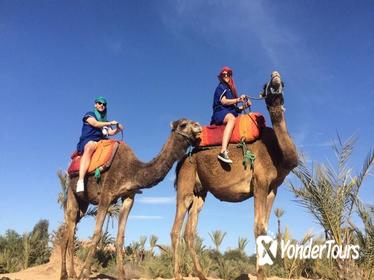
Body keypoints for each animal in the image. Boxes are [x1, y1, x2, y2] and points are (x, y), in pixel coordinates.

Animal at [60, 118, 202, 280]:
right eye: (183, 125)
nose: (198, 126)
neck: (131, 170)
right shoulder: (106, 195)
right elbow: (97, 234)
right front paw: (84, 273)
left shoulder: (128, 197)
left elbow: (120, 237)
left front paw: (121, 275)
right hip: (71, 192)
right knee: (71, 228)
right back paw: (68, 273)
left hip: (83, 203)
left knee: (69, 231)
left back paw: (68, 273)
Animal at [171, 72, 296, 280]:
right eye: (266, 85)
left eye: (283, 83)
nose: (275, 76)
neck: (278, 153)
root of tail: (181, 161)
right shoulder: (260, 182)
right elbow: (258, 228)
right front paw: (260, 274)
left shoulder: (272, 189)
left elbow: (264, 227)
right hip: (186, 180)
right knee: (176, 227)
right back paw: (177, 274)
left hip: (200, 191)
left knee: (190, 230)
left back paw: (201, 274)